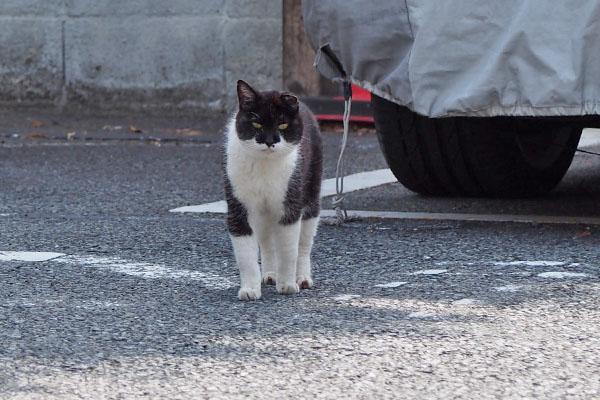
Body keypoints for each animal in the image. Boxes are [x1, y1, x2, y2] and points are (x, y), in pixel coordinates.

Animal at [224, 80, 322, 300]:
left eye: (282, 125)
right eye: (257, 124)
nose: (269, 141)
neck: (264, 166)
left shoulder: (290, 205)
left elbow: (288, 251)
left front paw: (287, 285)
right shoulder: (238, 206)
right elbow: (245, 255)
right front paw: (249, 289)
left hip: (311, 193)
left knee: (304, 244)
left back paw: (302, 278)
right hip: (262, 214)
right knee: (267, 242)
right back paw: (270, 274)